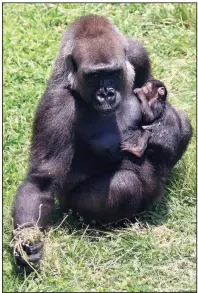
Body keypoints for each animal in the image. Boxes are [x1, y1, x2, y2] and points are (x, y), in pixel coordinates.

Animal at [11, 13, 193, 270]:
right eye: (94, 76)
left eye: (113, 73)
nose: (106, 94)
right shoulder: (56, 105)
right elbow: (41, 182)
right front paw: (26, 243)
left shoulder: (137, 53)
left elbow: (153, 89)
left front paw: (165, 127)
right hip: (72, 207)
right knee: (123, 184)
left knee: (184, 122)